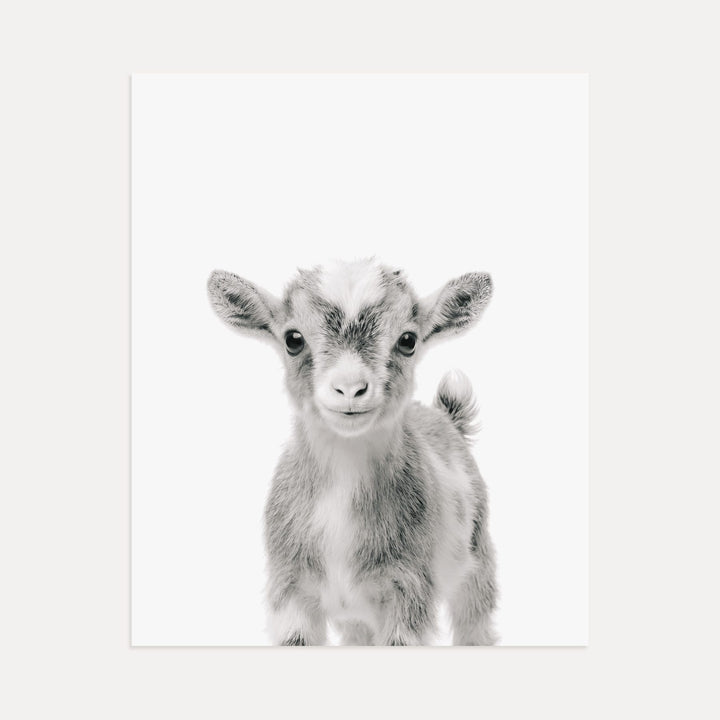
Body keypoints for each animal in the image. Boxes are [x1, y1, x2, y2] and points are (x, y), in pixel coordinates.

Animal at [207, 258, 497, 645]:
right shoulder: (290, 591)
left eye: (408, 340)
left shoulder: (408, 590)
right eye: (293, 339)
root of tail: (446, 417)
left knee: (475, 622)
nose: (349, 388)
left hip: (478, 562)